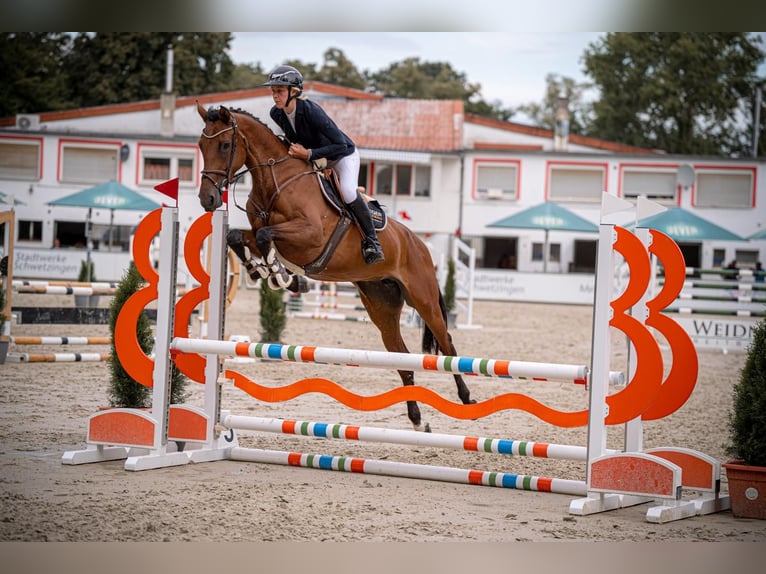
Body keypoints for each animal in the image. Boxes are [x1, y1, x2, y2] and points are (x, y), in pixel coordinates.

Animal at [196, 102, 474, 431]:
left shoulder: (310, 236)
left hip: (424, 298)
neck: (275, 180)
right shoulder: (259, 229)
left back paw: (466, 398)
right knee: (403, 358)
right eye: (201, 146)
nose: (207, 198)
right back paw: (418, 421)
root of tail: (418, 243)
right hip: (381, 306)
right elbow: (239, 236)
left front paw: (280, 274)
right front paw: (264, 271)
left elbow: (266, 238)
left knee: (447, 345)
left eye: (225, 145)